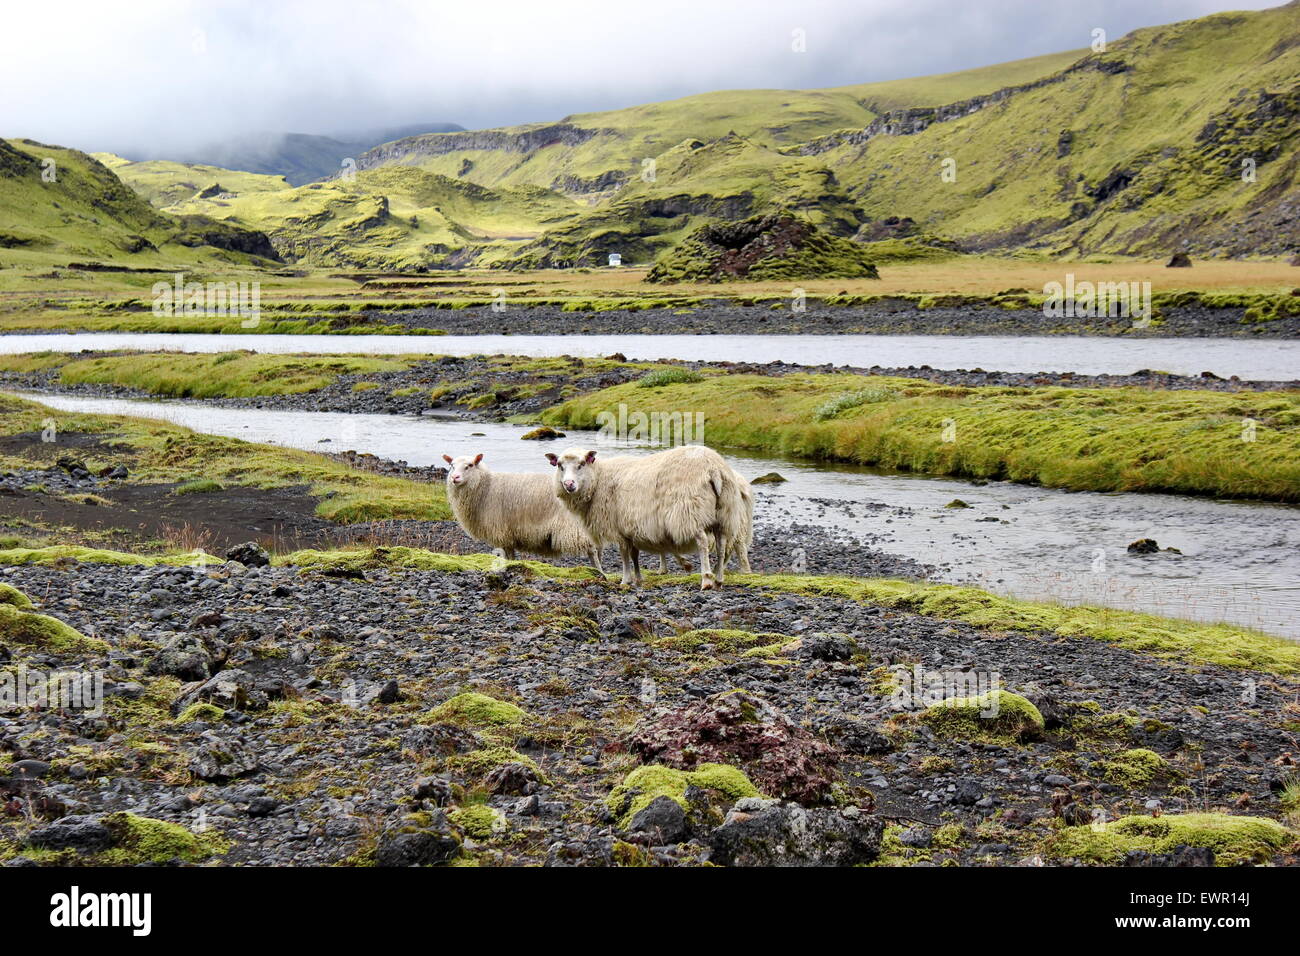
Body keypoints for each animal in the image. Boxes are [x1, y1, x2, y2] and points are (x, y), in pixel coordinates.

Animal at [436, 455, 598, 572]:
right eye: (452, 466)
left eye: (469, 466)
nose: (455, 478)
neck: (486, 487)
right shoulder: (508, 534)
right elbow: (510, 555)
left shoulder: (501, 531)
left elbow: (508, 556)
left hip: (574, 527)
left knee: (592, 550)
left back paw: (599, 571)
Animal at [548, 444, 754, 587]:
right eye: (560, 466)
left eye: (582, 464)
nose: (569, 484)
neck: (599, 479)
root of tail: (713, 468)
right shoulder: (630, 528)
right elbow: (635, 554)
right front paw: (638, 578)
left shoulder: (619, 528)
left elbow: (624, 555)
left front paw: (626, 580)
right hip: (725, 513)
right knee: (722, 545)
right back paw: (719, 578)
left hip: (689, 512)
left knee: (703, 543)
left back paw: (707, 580)